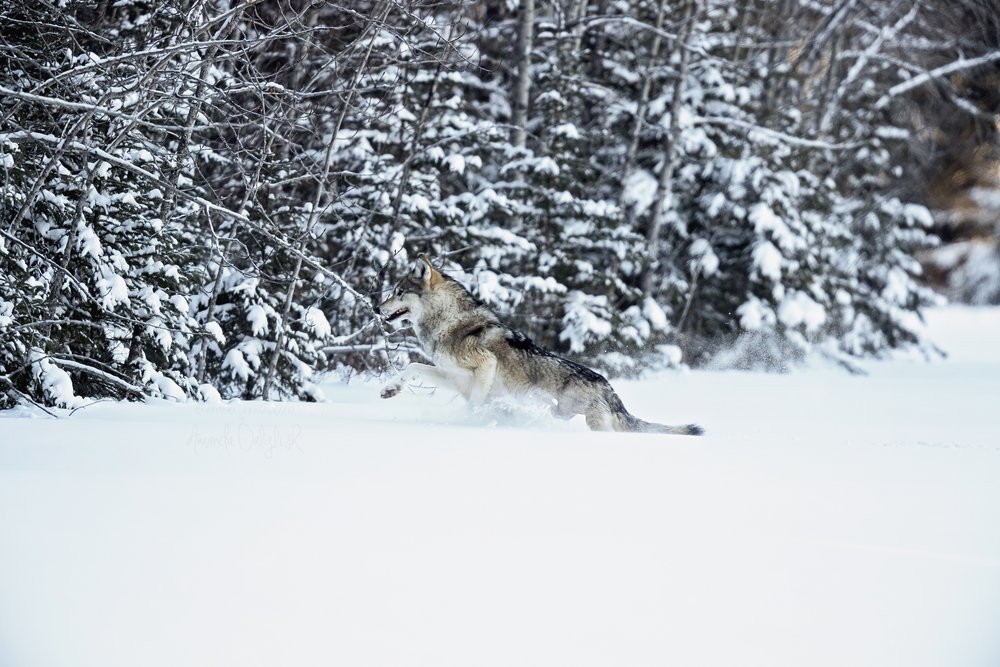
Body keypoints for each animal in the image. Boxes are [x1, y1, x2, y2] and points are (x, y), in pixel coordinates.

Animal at [376, 256, 704, 438]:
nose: (377, 308)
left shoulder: (485, 365)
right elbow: (412, 366)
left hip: (586, 419)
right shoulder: (453, 376)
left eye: (399, 292)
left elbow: (476, 403)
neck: (448, 320)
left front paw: (473, 422)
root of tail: (610, 389)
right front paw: (389, 390)